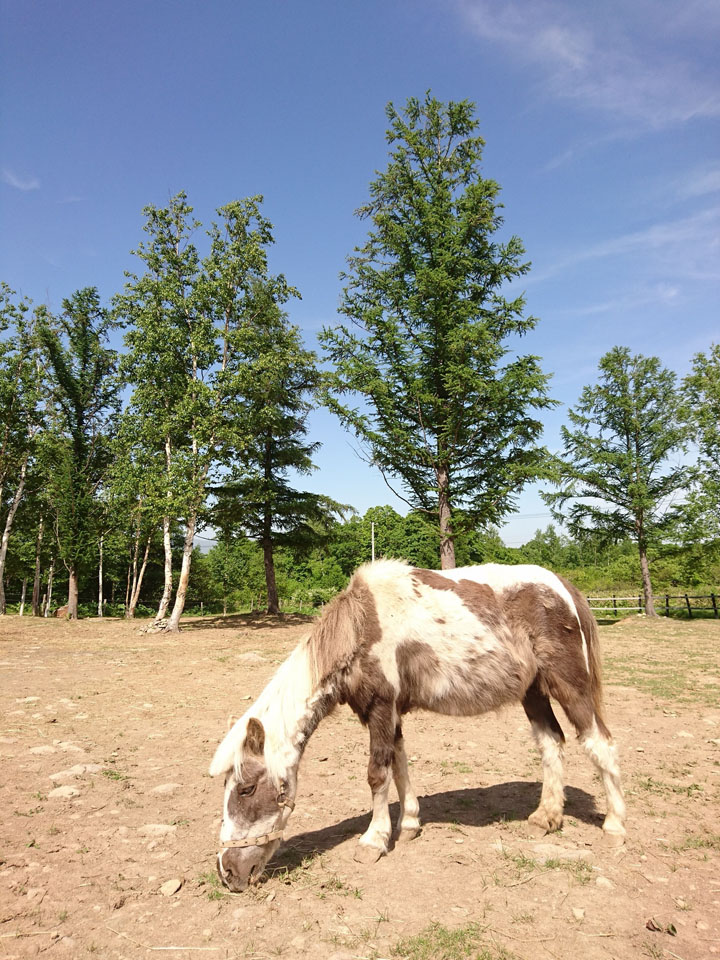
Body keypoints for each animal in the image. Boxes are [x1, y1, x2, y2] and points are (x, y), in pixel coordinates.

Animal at [208, 560, 624, 888]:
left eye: (245, 789)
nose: (228, 873)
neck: (362, 627)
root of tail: (564, 588)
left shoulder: (381, 708)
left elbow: (377, 774)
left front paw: (373, 841)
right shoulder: (388, 714)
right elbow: (400, 765)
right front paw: (408, 824)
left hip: (570, 687)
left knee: (600, 744)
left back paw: (615, 825)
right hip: (534, 692)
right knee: (551, 742)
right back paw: (546, 818)